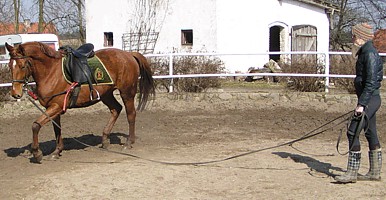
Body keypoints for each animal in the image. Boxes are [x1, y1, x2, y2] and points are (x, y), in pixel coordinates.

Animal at [5, 41, 155, 162]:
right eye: (10, 66)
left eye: (22, 65)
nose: (15, 93)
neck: (51, 71)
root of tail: (129, 54)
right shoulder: (53, 108)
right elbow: (57, 129)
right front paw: (56, 151)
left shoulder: (56, 106)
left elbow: (35, 125)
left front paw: (37, 153)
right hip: (106, 94)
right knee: (116, 109)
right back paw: (105, 139)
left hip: (127, 93)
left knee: (131, 115)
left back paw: (128, 143)